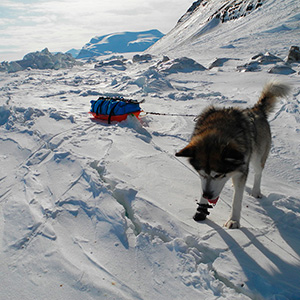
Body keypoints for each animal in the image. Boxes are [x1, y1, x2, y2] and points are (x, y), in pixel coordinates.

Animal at [177, 81, 290, 229]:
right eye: (201, 174)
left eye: (218, 175)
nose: (207, 195)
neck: (218, 131)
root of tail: (256, 110)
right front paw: (201, 209)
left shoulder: (242, 170)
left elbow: (237, 199)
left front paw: (234, 220)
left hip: (258, 156)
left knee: (258, 172)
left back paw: (255, 191)